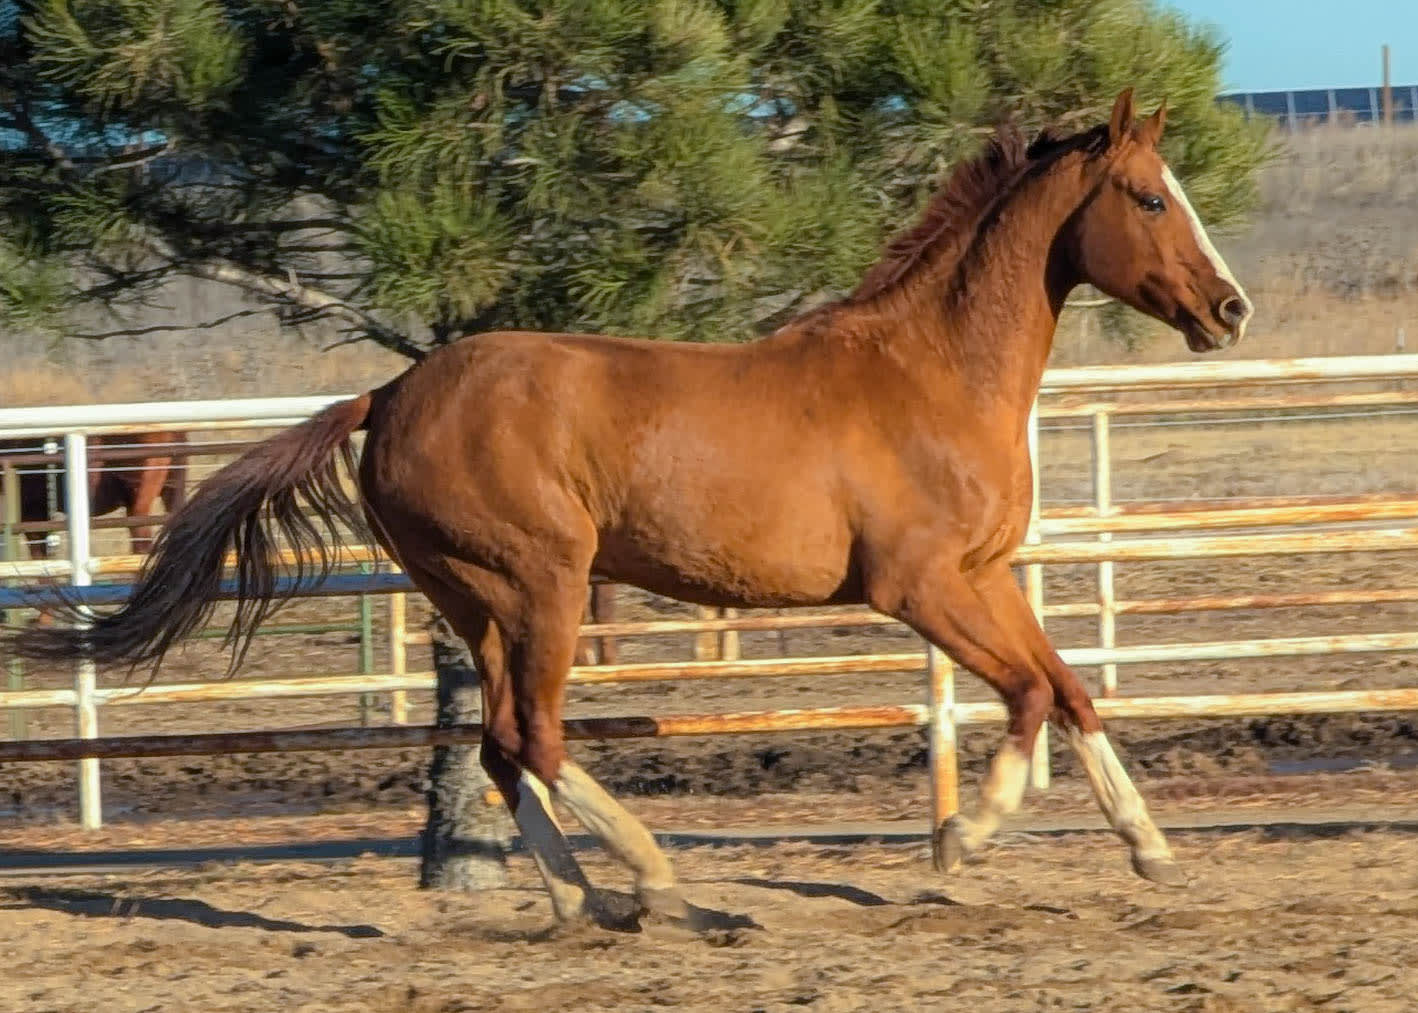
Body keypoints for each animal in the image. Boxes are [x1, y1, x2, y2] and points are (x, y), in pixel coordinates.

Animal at [15, 90, 1252, 927]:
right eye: (1149, 197)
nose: (1229, 308)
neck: (930, 374)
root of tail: (392, 392)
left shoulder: (985, 577)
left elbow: (1068, 688)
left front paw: (1148, 850)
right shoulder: (919, 587)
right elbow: (1029, 696)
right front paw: (962, 840)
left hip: (474, 599)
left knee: (501, 743)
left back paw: (583, 901)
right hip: (542, 583)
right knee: (536, 734)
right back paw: (659, 881)